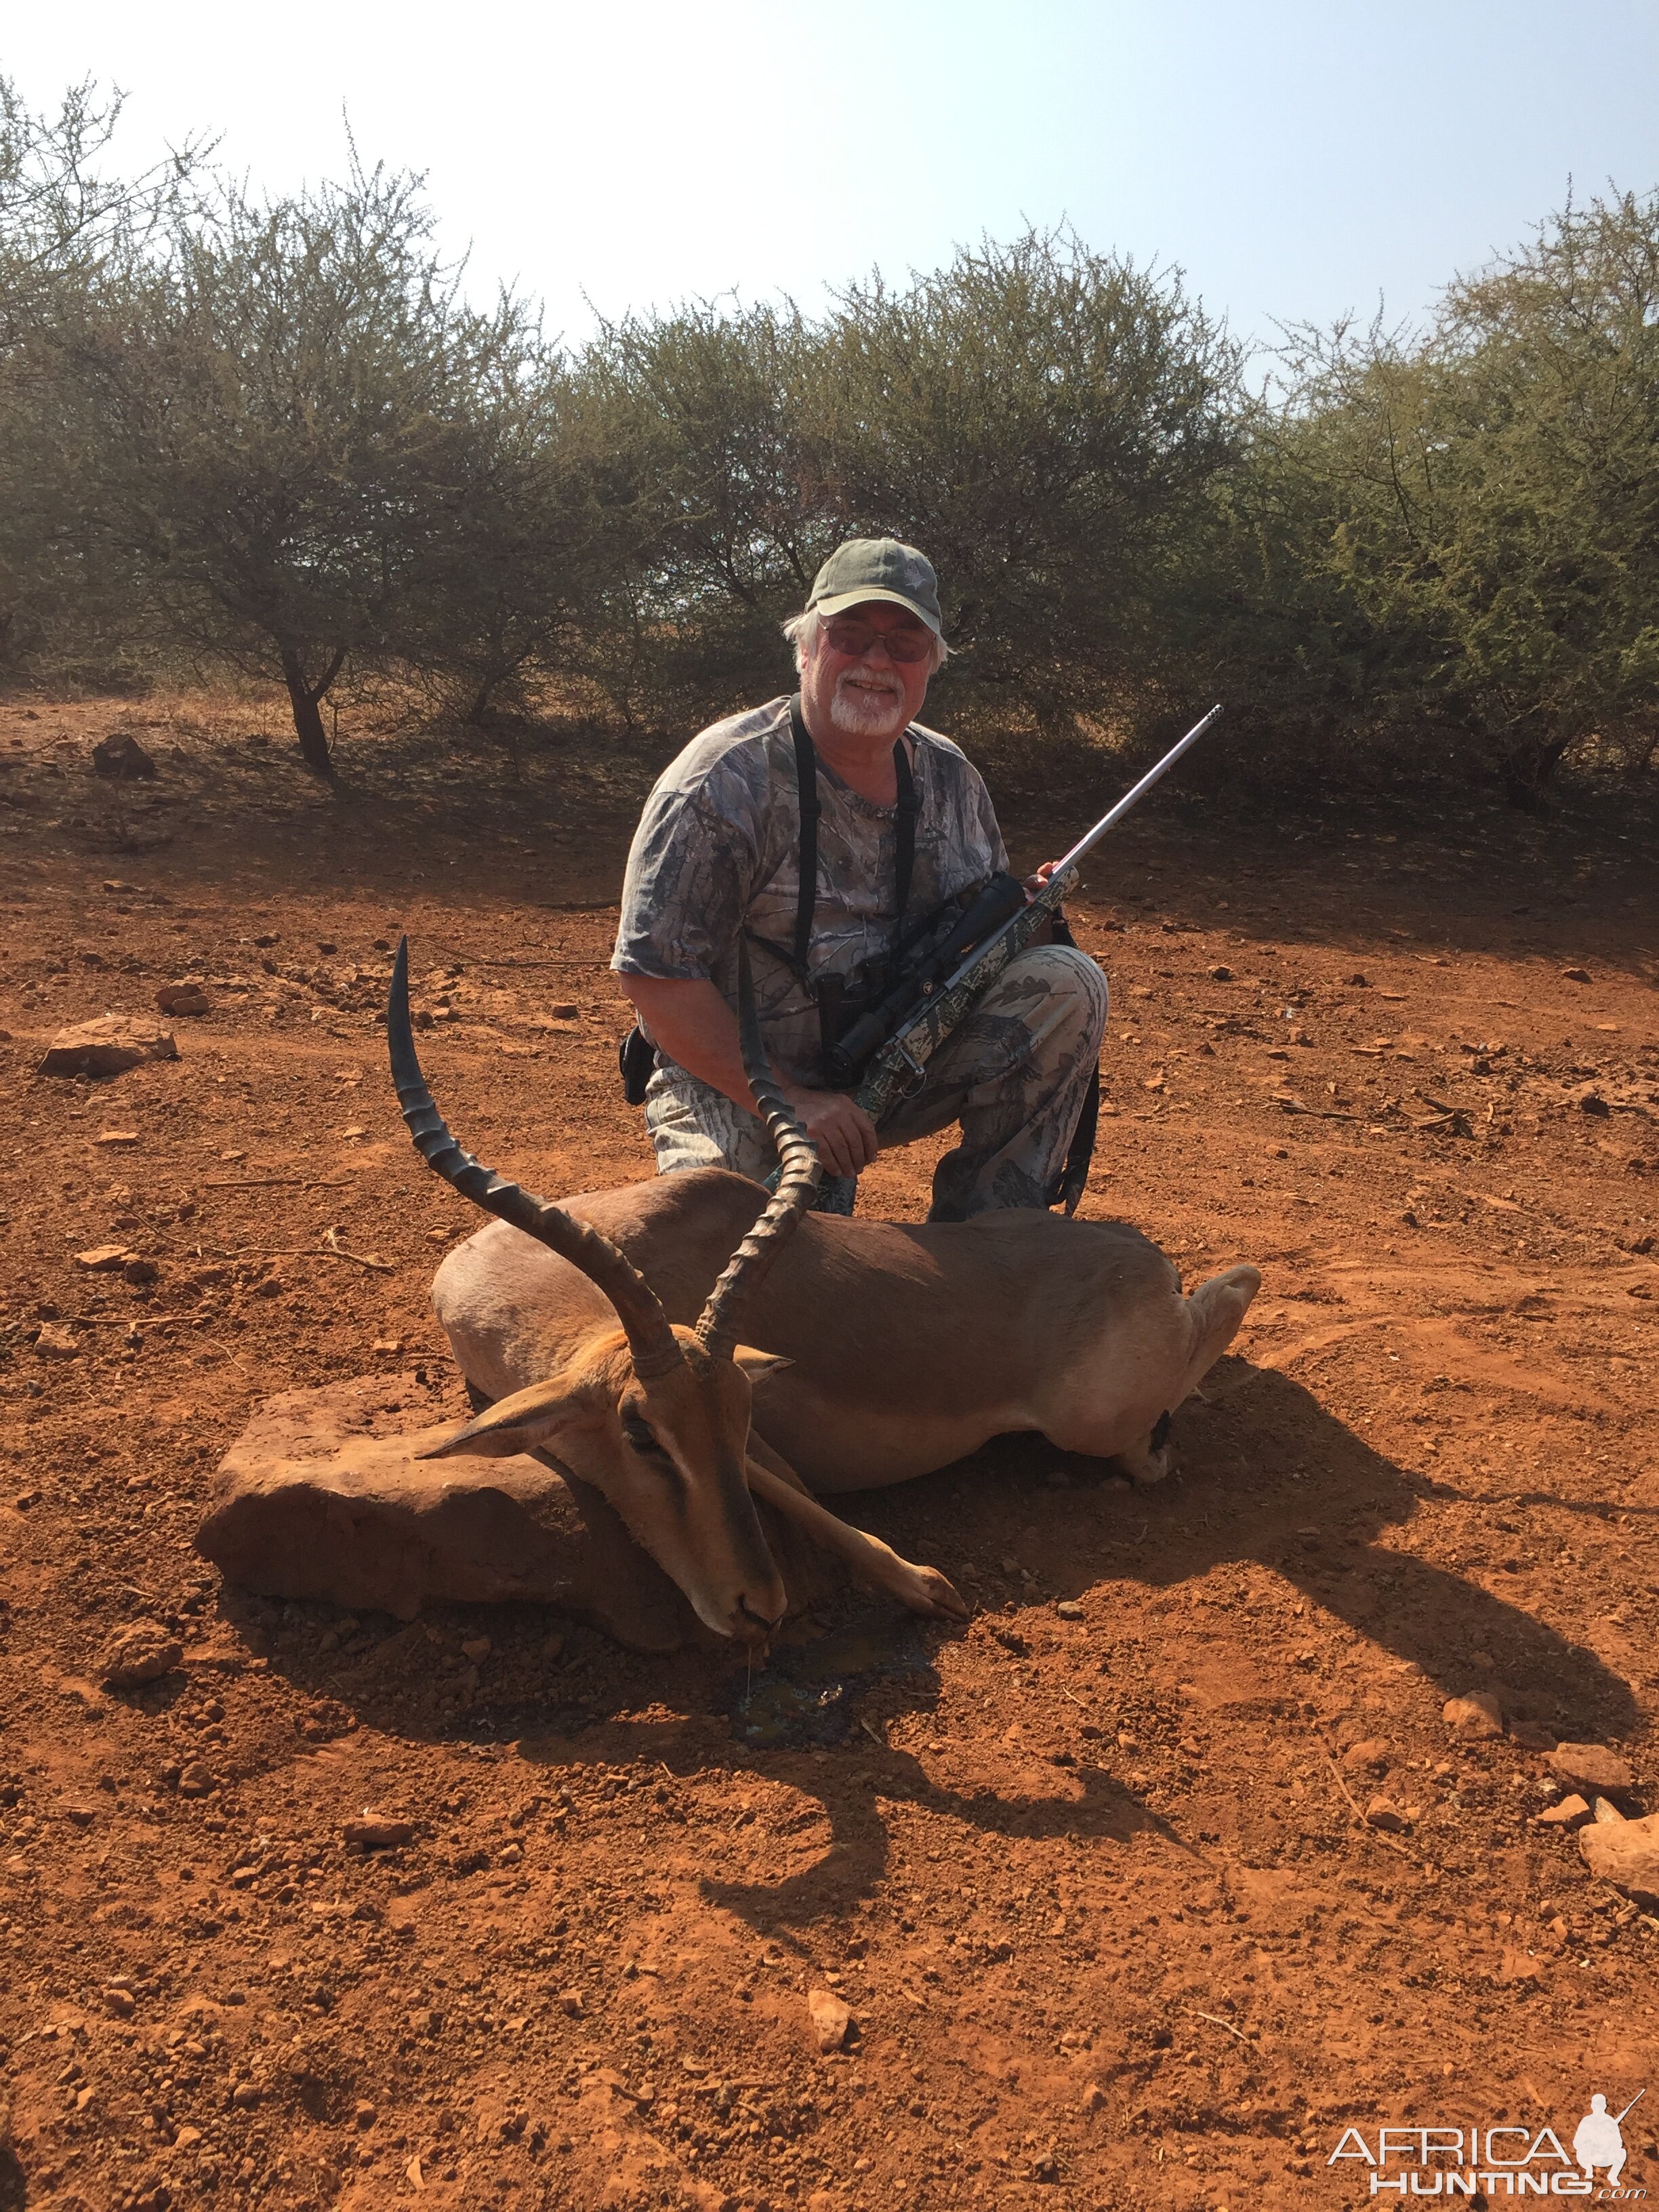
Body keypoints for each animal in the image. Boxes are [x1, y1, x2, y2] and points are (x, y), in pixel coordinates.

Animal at [393, 933, 1256, 1645]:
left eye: (741, 1415)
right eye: (640, 1433)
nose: (755, 1606)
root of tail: (1140, 1256)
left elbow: (798, 1492)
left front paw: (926, 1585)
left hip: (1094, 1425)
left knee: (1221, 1317)